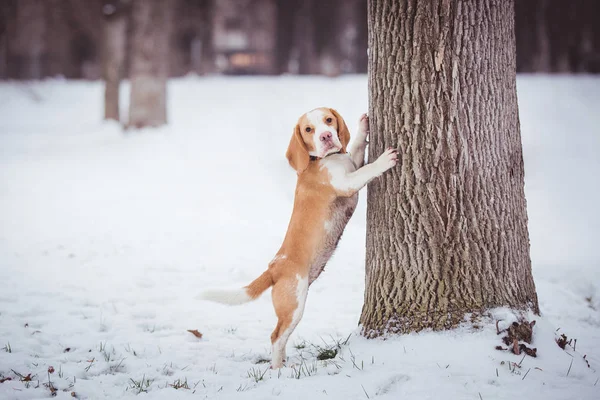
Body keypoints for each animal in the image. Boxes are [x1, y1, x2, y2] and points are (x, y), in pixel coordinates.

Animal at [202, 107, 398, 368]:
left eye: (329, 120)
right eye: (308, 129)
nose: (326, 136)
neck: (323, 159)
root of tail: (273, 268)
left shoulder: (352, 163)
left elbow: (356, 147)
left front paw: (362, 126)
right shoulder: (347, 183)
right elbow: (367, 169)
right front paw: (384, 160)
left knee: (282, 338)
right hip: (294, 305)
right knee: (275, 337)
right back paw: (278, 370)